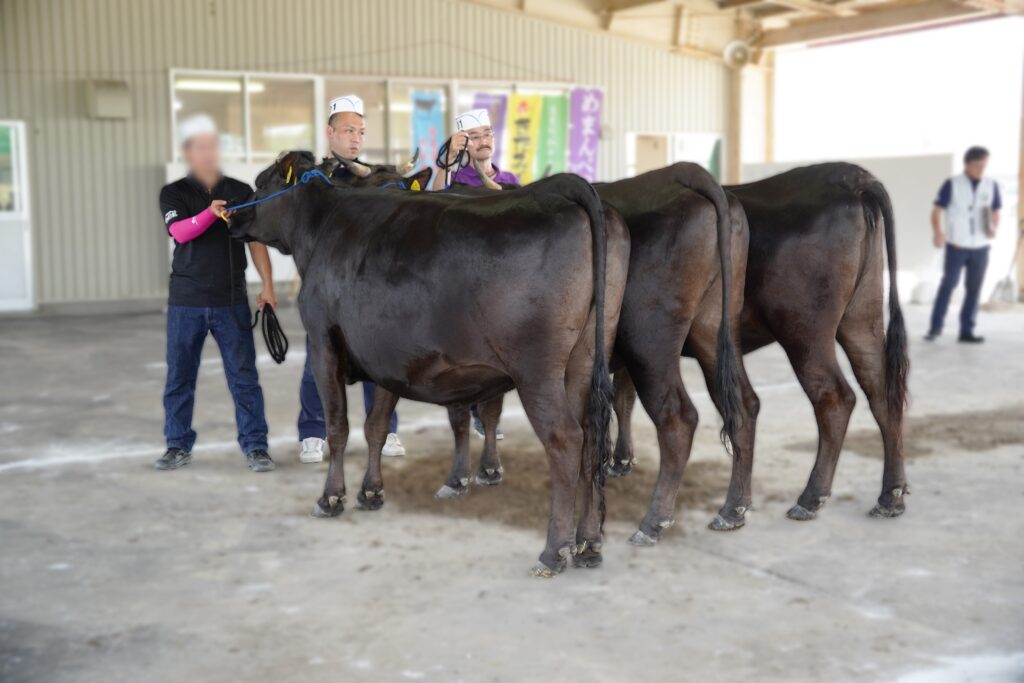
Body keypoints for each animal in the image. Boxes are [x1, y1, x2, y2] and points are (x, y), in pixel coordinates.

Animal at [230, 152, 630, 573]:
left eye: (262, 182)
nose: (231, 216)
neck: (323, 226)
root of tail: (561, 188)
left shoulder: (323, 341)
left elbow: (338, 426)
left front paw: (331, 497)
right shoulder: (386, 360)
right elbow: (375, 426)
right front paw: (371, 492)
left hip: (537, 371)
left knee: (566, 440)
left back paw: (554, 552)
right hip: (585, 359)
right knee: (591, 437)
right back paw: (589, 543)